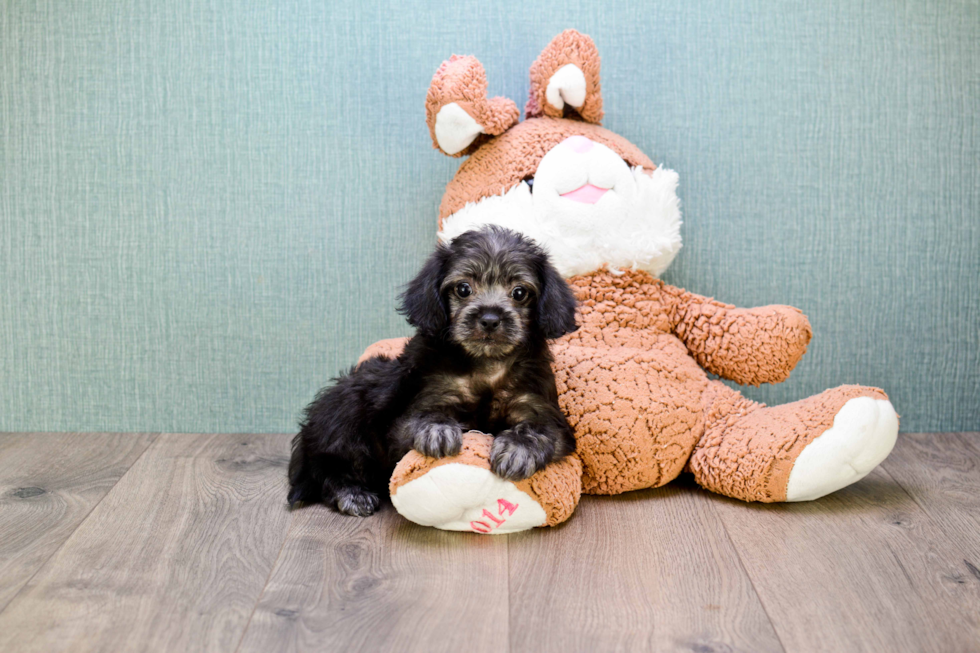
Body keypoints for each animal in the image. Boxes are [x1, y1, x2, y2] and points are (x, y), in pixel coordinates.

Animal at [290, 227, 580, 516]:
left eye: (519, 293)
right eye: (463, 288)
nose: (489, 319)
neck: (486, 365)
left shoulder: (541, 411)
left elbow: (537, 429)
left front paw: (517, 450)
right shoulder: (415, 412)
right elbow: (424, 417)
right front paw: (437, 431)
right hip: (346, 407)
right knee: (329, 470)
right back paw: (352, 493)